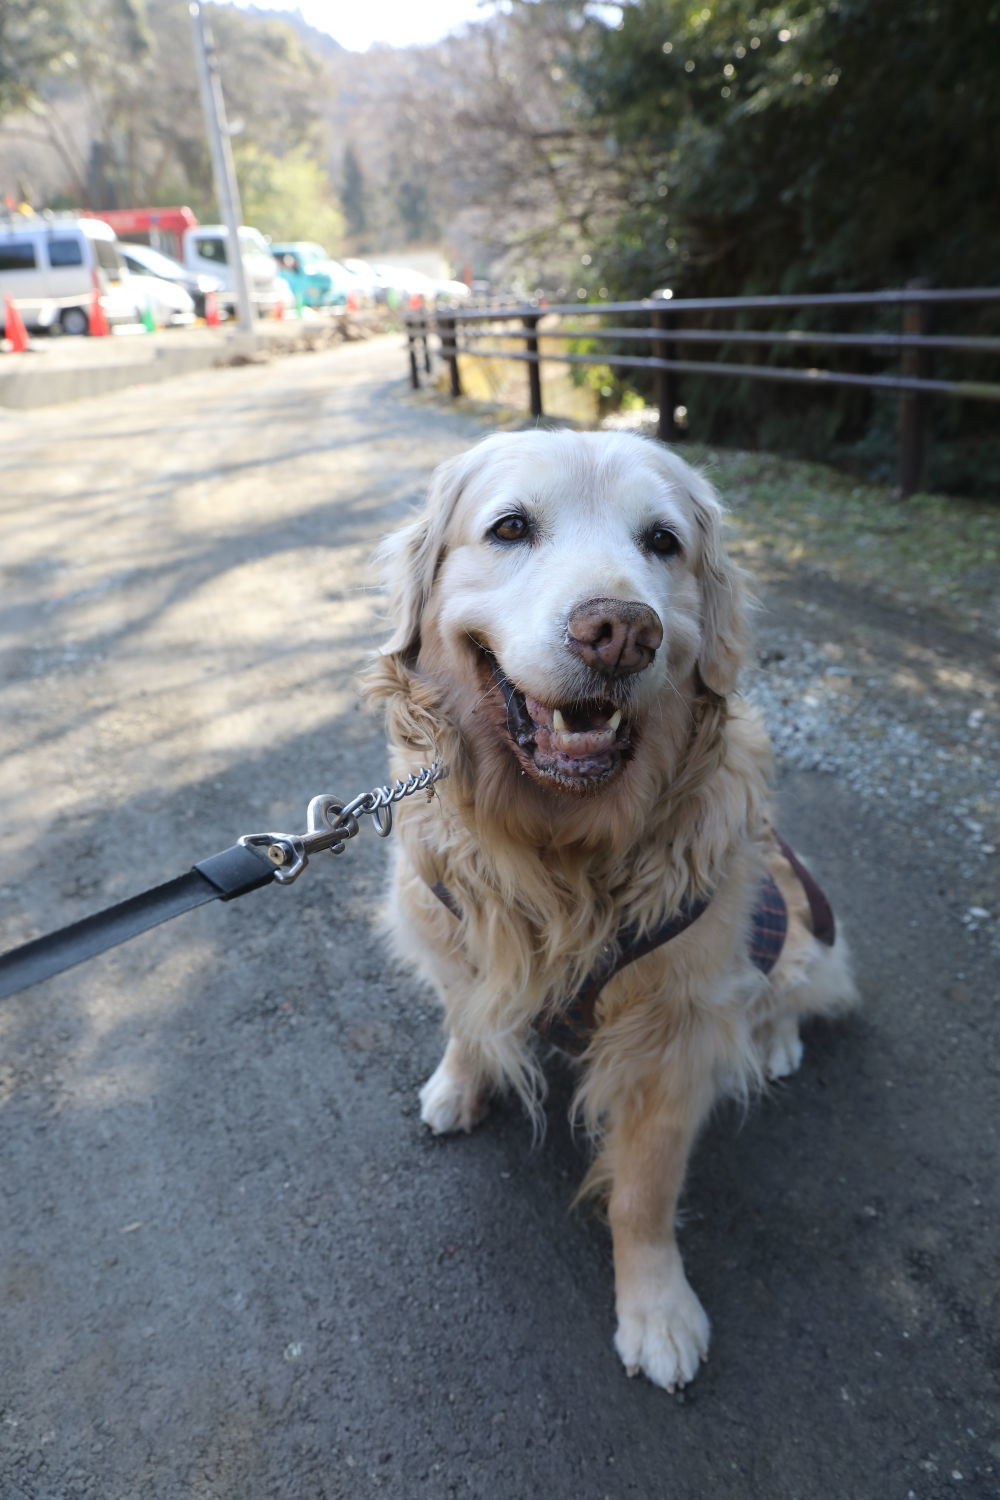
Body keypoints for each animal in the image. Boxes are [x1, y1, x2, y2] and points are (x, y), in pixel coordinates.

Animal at [364, 429, 857, 1386]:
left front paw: (657, 1309)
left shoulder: (675, 1031)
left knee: (792, 985)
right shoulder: (452, 931)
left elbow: (644, 1190)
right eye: (510, 527)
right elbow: (465, 1021)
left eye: (663, 542)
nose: (622, 632)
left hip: (795, 919)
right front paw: (459, 1083)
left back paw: (775, 1041)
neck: (560, 850)